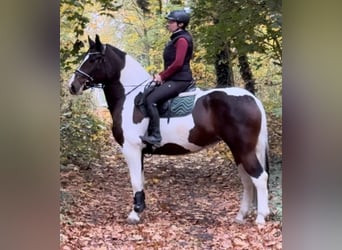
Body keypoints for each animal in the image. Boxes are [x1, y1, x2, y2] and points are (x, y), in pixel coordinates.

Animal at [68, 34, 272, 225]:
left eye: (94, 59)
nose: (73, 86)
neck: (130, 97)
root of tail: (252, 99)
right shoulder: (139, 151)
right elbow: (141, 180)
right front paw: (140, 210)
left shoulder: (131, 149)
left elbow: (135, 181)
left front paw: (134, 214)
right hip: (238, 150)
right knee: (247, 180)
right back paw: (241, 216)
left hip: (243, 149)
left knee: (259, 177)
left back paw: (260, 217)